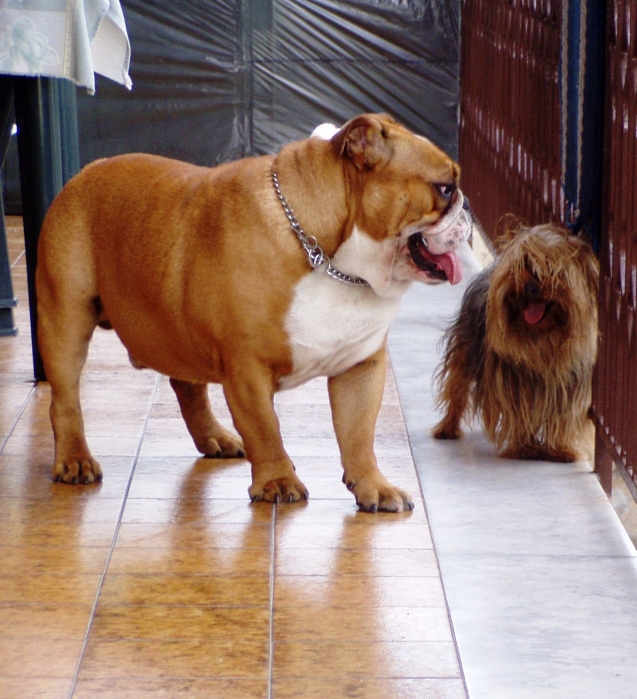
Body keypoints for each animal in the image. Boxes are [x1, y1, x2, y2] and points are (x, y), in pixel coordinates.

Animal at [430, 224, 600, 462]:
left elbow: (563, 415)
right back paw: (448, 428)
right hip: (465, 348)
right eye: (523, 265)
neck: (541, 336)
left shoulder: (569, 384)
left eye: (551, 270)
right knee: (457, 388)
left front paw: (559, 449)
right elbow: (519, 410)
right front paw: (525, 447)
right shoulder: (512, 382)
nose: (530, 287)